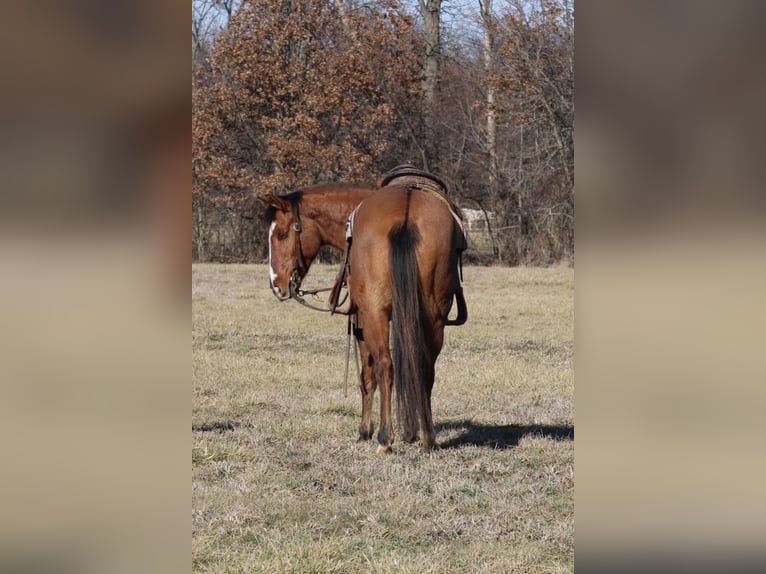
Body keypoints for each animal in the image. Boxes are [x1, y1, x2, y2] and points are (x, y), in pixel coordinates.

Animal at [261, 168, 467, 452]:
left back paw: (385, 439)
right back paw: (426, 436)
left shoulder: (360, 317)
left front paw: (365, 430)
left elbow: (366, 376)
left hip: (374, 313)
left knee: (385, 366)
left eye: (281, 234)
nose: (276, 284)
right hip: (434, 314)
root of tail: (405, 214)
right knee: (424, 366)